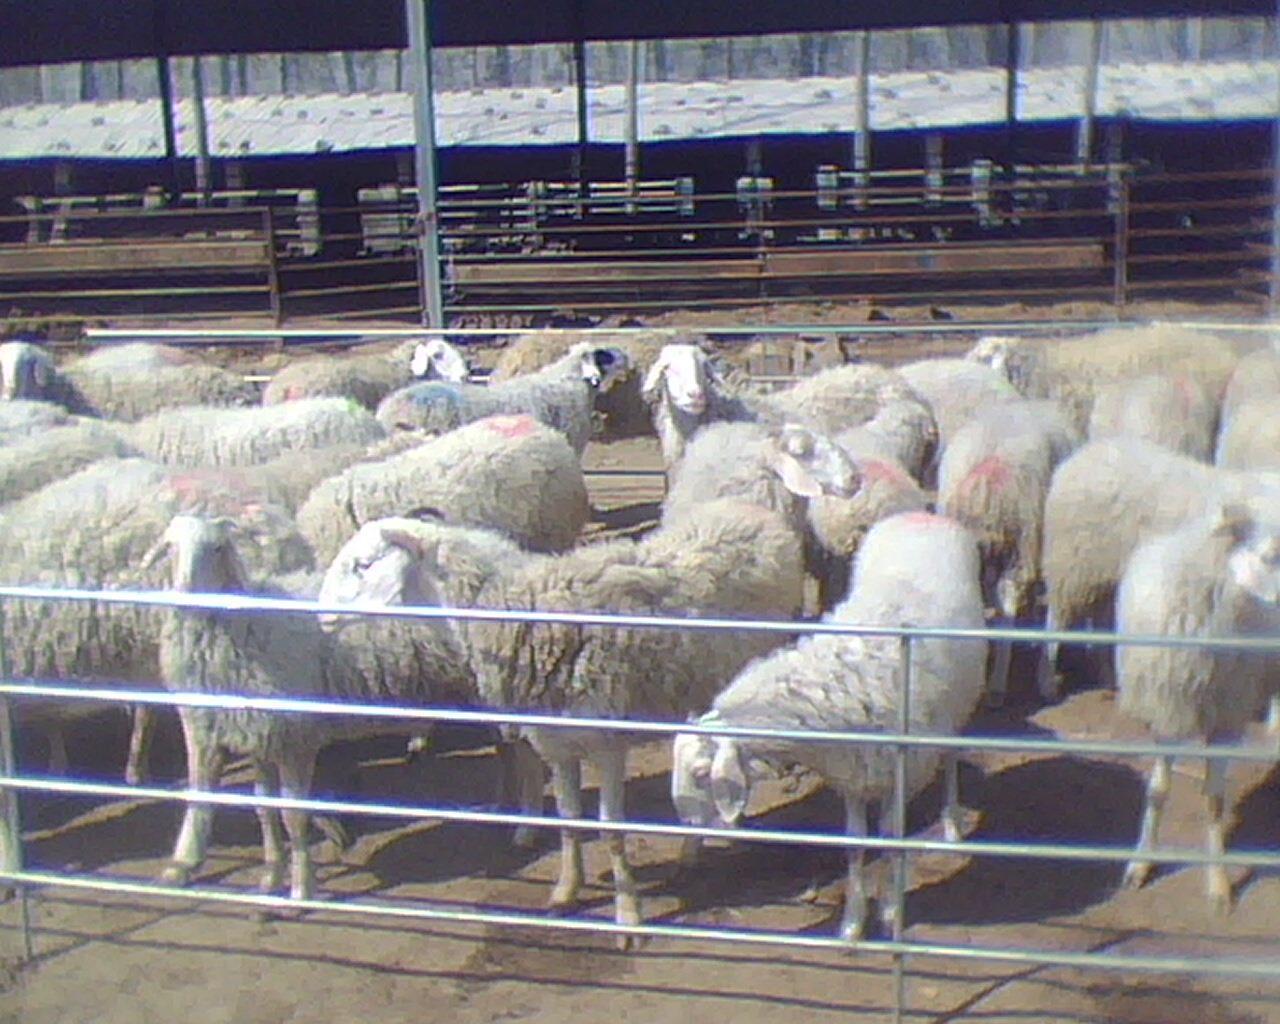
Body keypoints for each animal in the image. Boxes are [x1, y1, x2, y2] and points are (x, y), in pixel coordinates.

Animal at [328, 500, 806, 943]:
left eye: (363, 564)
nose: (322, 614)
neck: (520, 608)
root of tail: (750, 511)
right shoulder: (556, 744)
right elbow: (569, 819)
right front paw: (565, 892)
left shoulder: (607, 743)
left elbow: (611, 832)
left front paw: (627, 916)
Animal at [671, 511, 988, 941]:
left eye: (702, 773)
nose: (686, 823)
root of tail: (921, 515)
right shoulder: (853, 774)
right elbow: (855, 845)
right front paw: (852, 922)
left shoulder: (901, 772)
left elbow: (892, 841)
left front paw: (891, 912)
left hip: (961, 702)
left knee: (953, 757)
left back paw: (952, 826)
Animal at [1037, 437, 1280, 699]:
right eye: (1269, 556)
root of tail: (1082, 454)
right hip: (1071, 569)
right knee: (1056, 617)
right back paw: (1048, 680)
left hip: (1102, 577)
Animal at [1114, 503, 1280, 913]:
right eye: (1269, 556)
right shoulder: (1167, 710)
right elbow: (1157, 790)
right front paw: (1140, 862)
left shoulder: (1226, 717)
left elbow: (1214, 801)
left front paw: (1218, 883)